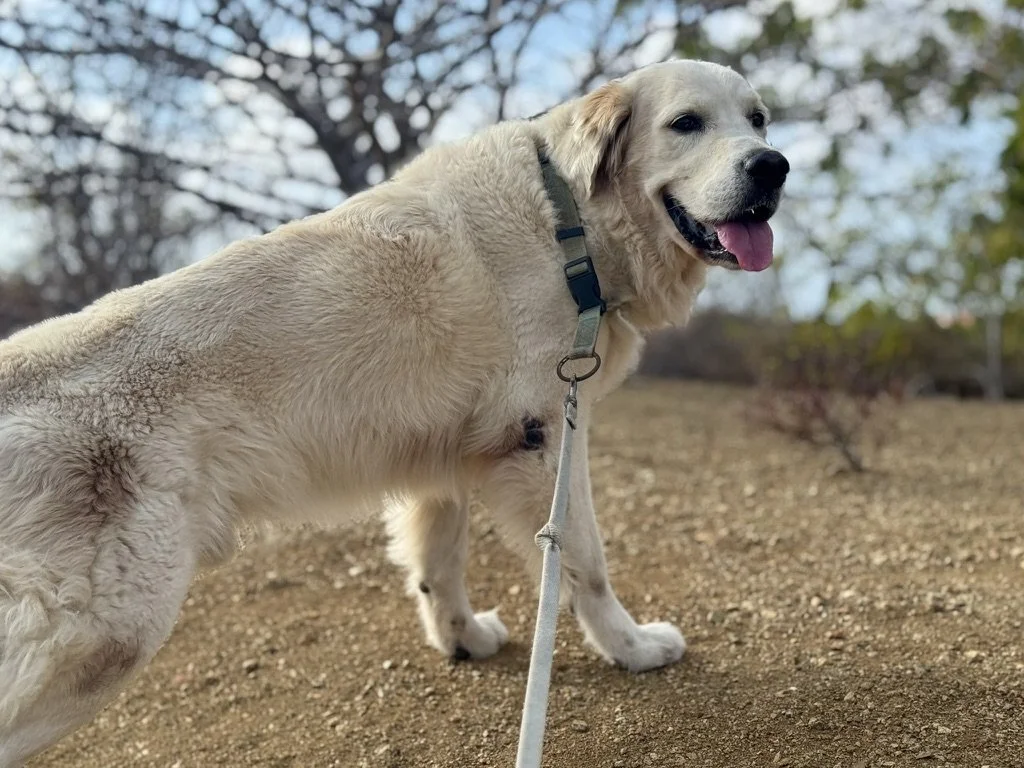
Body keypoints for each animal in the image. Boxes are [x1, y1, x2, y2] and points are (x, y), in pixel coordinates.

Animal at [0, 59, 788, 765]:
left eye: (758, 119)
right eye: (686, 123)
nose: (774, 167)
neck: (566, 220)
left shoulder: (447, 457)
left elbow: (439, 561)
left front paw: (462, 640)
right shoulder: (543, 441)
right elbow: (586, 564)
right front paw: (633, 648)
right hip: (108, 635)